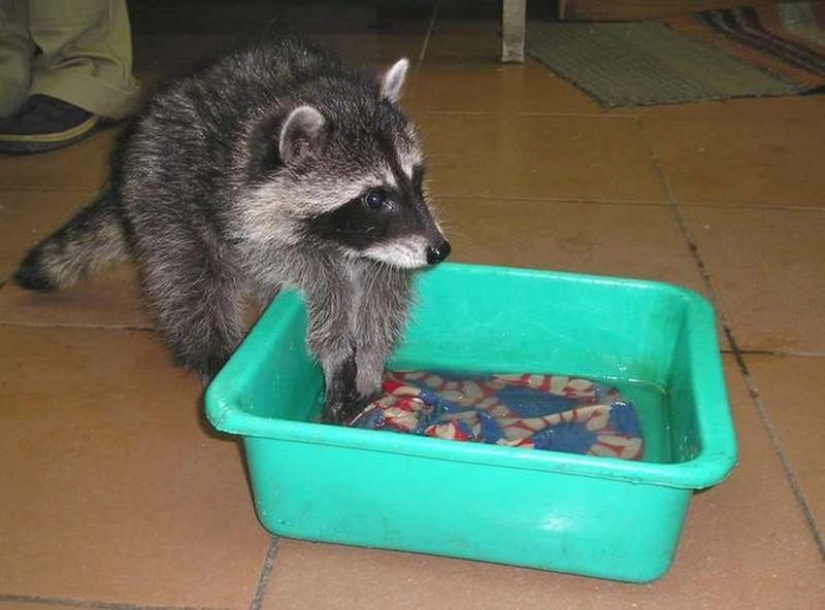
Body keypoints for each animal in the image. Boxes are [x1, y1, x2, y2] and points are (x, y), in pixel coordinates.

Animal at [14, 37, 451, 424]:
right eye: (375, 198)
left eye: (416, 178)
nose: (440, 250)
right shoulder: (241, 212)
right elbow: (315, 280)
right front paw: (335, 343)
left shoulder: (384, 241)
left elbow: (385, 286)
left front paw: (371, 356)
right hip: (164, 188)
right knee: (187, 278)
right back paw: (215, 353)